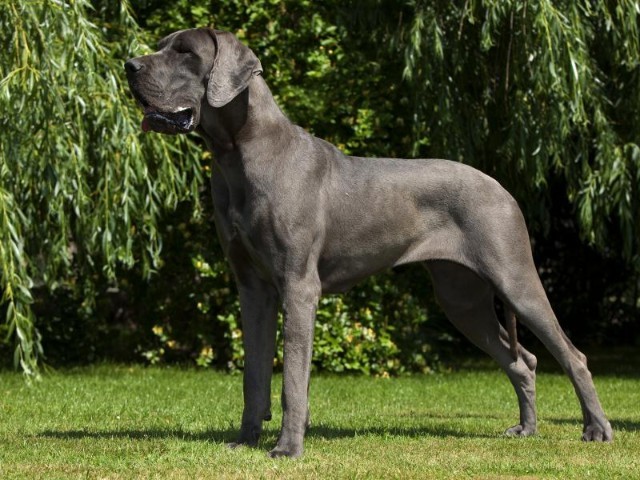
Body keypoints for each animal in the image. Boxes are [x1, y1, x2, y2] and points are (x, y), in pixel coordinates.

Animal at [125, 27, 612, 457]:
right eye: (163, 46)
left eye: (185, 53)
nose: (130, 65)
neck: (238, 152)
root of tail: (503, 188)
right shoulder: (252, 288)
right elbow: (255, 374)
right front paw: (246, 440)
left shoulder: (298, 286)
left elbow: (292, 381)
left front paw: (288, 448)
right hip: (462, 298)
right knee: (522, 360)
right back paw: (527, 429)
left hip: (515, 277)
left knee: (572, 354)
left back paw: (596, 429)